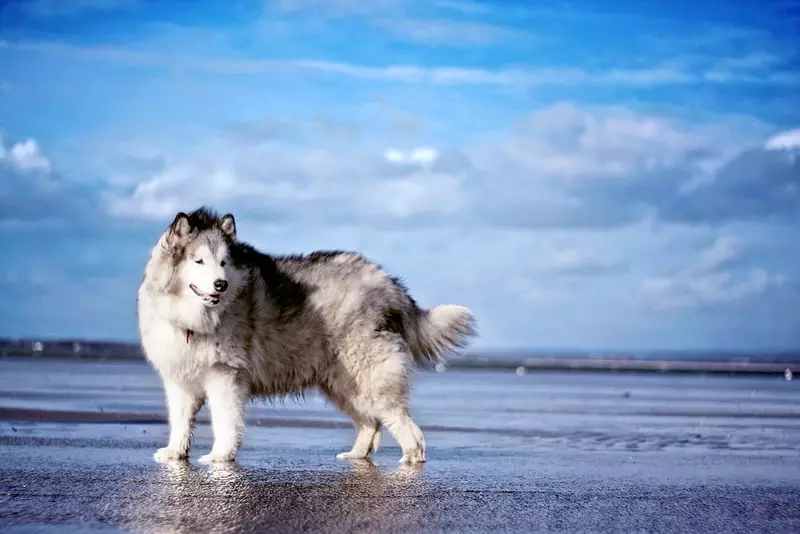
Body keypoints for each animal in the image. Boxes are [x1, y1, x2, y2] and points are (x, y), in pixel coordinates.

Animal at [137, 207, 476, 466]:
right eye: (199, 261)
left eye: (223, 263)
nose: (221, 284)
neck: (193, 320)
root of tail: (391, 284)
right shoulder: (180, 381)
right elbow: (181, 422)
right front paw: (174, 453)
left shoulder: (225, 376)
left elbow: (225, 422)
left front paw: (219, 457)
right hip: (343, 385)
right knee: (370, 424)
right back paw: (356, 455)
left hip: (371, 379)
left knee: (408, 430)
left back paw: (409, 461)